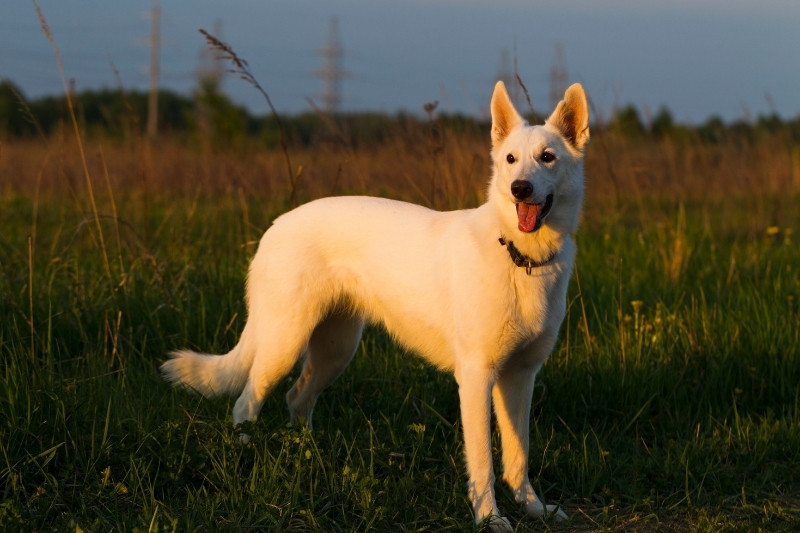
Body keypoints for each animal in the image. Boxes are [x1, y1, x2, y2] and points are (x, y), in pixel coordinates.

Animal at [162, 81, 588, 528]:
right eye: (510, 159)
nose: (519, 188)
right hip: (283, 344)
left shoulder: (520, 377)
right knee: (245, 405)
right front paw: (489, 519)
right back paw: (247, 458)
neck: (520, 258)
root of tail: (276, 226)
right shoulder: (476, 378)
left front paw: (532, 508)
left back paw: (308, 458)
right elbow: (483, 464)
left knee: (296, 399)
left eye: (547, 157)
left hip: (335, 351)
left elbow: (518, 456)